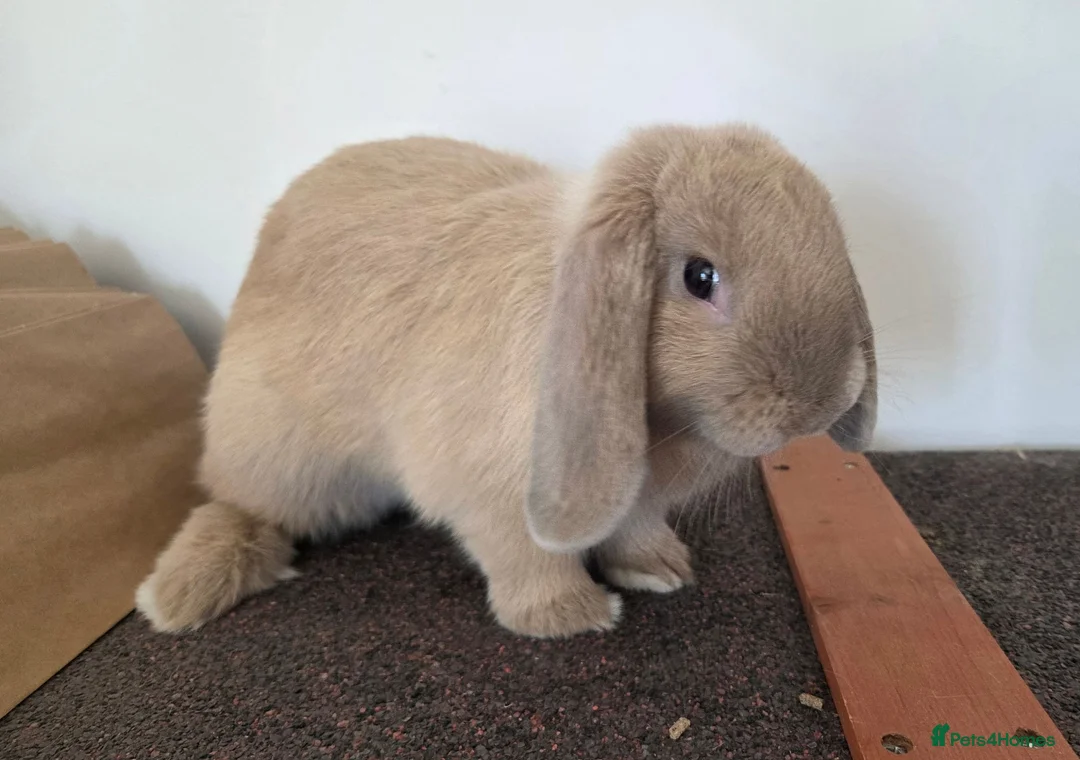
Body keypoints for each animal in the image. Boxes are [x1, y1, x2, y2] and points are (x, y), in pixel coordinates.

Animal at [135, 123, 877, 638]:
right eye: (700, 277)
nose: (822, 404)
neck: (662, 420)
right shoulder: (494, 494)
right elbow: (524, 555)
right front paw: (572, 617)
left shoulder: (628, 497)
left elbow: (635, 527)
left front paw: (660, 571)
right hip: (280, 456)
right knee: (238, 505)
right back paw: (178, 594)